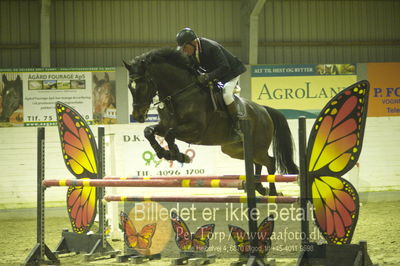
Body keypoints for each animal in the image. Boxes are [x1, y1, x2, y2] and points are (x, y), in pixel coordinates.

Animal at [123, 47, 298, 194]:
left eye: (143, 85)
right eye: (130, 87)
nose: (138, 115)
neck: (179, 94)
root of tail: (263, 110)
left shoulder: (195, 130)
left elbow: (170, 135)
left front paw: (178, 155)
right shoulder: (164, 125)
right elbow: (149, 131)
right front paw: (164, 153)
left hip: (258, 146)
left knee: (270, 162)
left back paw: (272, 192)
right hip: (234, 149)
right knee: (257, 162)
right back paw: (259, 187)